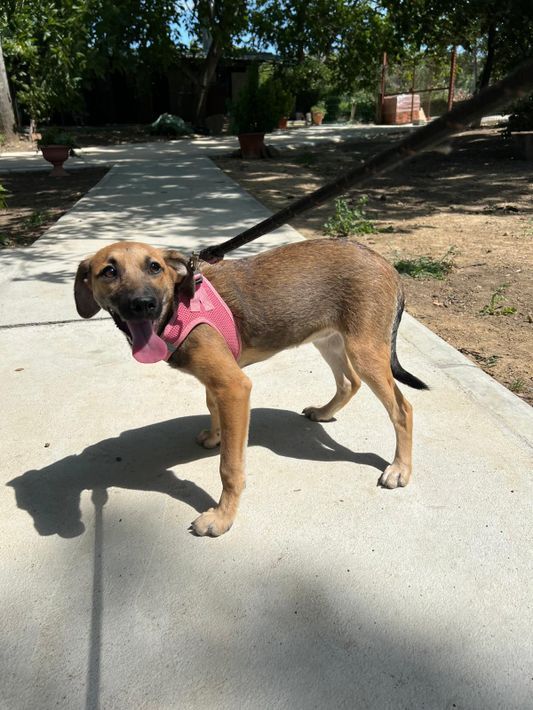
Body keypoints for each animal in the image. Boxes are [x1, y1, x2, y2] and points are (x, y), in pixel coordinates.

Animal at [74, 238, 428, 536]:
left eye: (154, 267)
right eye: (109, 271)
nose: (143, 304)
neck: (176, 307)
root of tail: (385, 262)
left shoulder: (234, 386)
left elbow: (229, 466)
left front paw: (222, 517)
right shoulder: (218, 381)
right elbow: (211, 407)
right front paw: (215, 435)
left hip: (364, 351)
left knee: (403, 408)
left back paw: (399, 469)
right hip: (328, 340)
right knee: (349, 382)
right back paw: (324, 412)